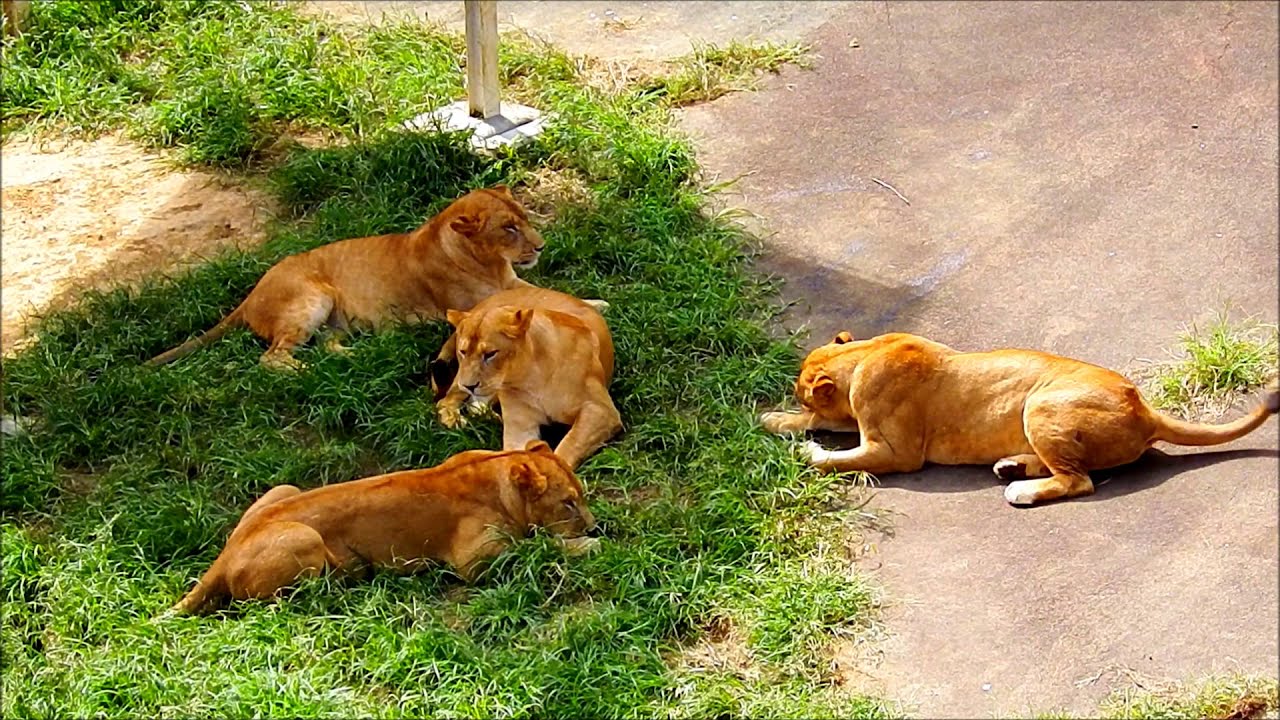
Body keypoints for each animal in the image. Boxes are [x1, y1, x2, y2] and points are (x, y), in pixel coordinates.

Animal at [147, 186, 546, 370]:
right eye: (509, 228)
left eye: (524, 218)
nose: (541, 247)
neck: (491, 263)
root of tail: (248, 296)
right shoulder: (475, 306)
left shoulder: (513, 284)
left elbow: (547, 293)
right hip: (313, 297)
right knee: (272, 358)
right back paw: (310, 371)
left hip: (333, 319)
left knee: (326, 344)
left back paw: (368, 354)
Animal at [170, 441, 598, 615]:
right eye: (568, 503)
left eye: (582, 495)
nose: (595, 529)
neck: (497, 472)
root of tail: (224, 557)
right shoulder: (473, 560)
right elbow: (534, 546)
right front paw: (586, 547)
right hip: (304, 537)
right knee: (266, 603)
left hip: (283, 488)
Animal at [432, 286, 622, 470]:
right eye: (463, 352)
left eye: (490, 354)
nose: (468, 385)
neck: (529, 377)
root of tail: (480, 304)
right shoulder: (520, 427)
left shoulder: (600, 410)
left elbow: (568, 445)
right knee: (446, 401)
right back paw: (458, 421)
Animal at [761, 331, 1279, 506]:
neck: (865, 354)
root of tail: (1145, 408)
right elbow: (815, 423)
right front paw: (771, 419)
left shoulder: (896, 453)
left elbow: (837, 458)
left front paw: (807, 452)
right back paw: (1013, 466)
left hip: (1041, 404)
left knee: (1079, 481)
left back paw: (1021, 489)